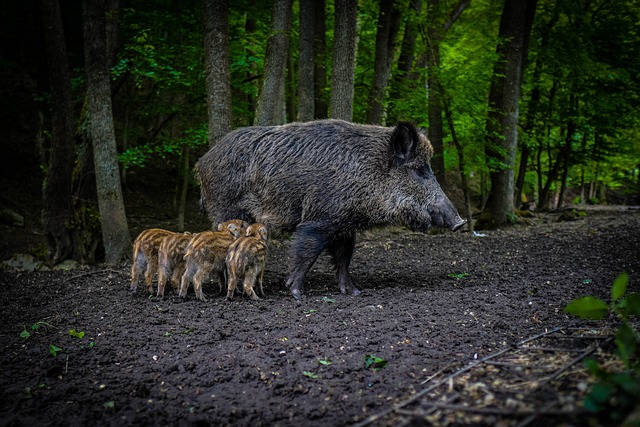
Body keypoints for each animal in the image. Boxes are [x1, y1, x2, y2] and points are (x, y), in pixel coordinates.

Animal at [195, 119, 466, 299]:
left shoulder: (345, 226)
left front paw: (354, 292)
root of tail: (203, 161)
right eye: (418, 170)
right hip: (227, 208)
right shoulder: (319, 220)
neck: (369, 172)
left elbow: (344, 258)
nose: (460, 222)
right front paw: (296, 293)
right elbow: (307, 252)